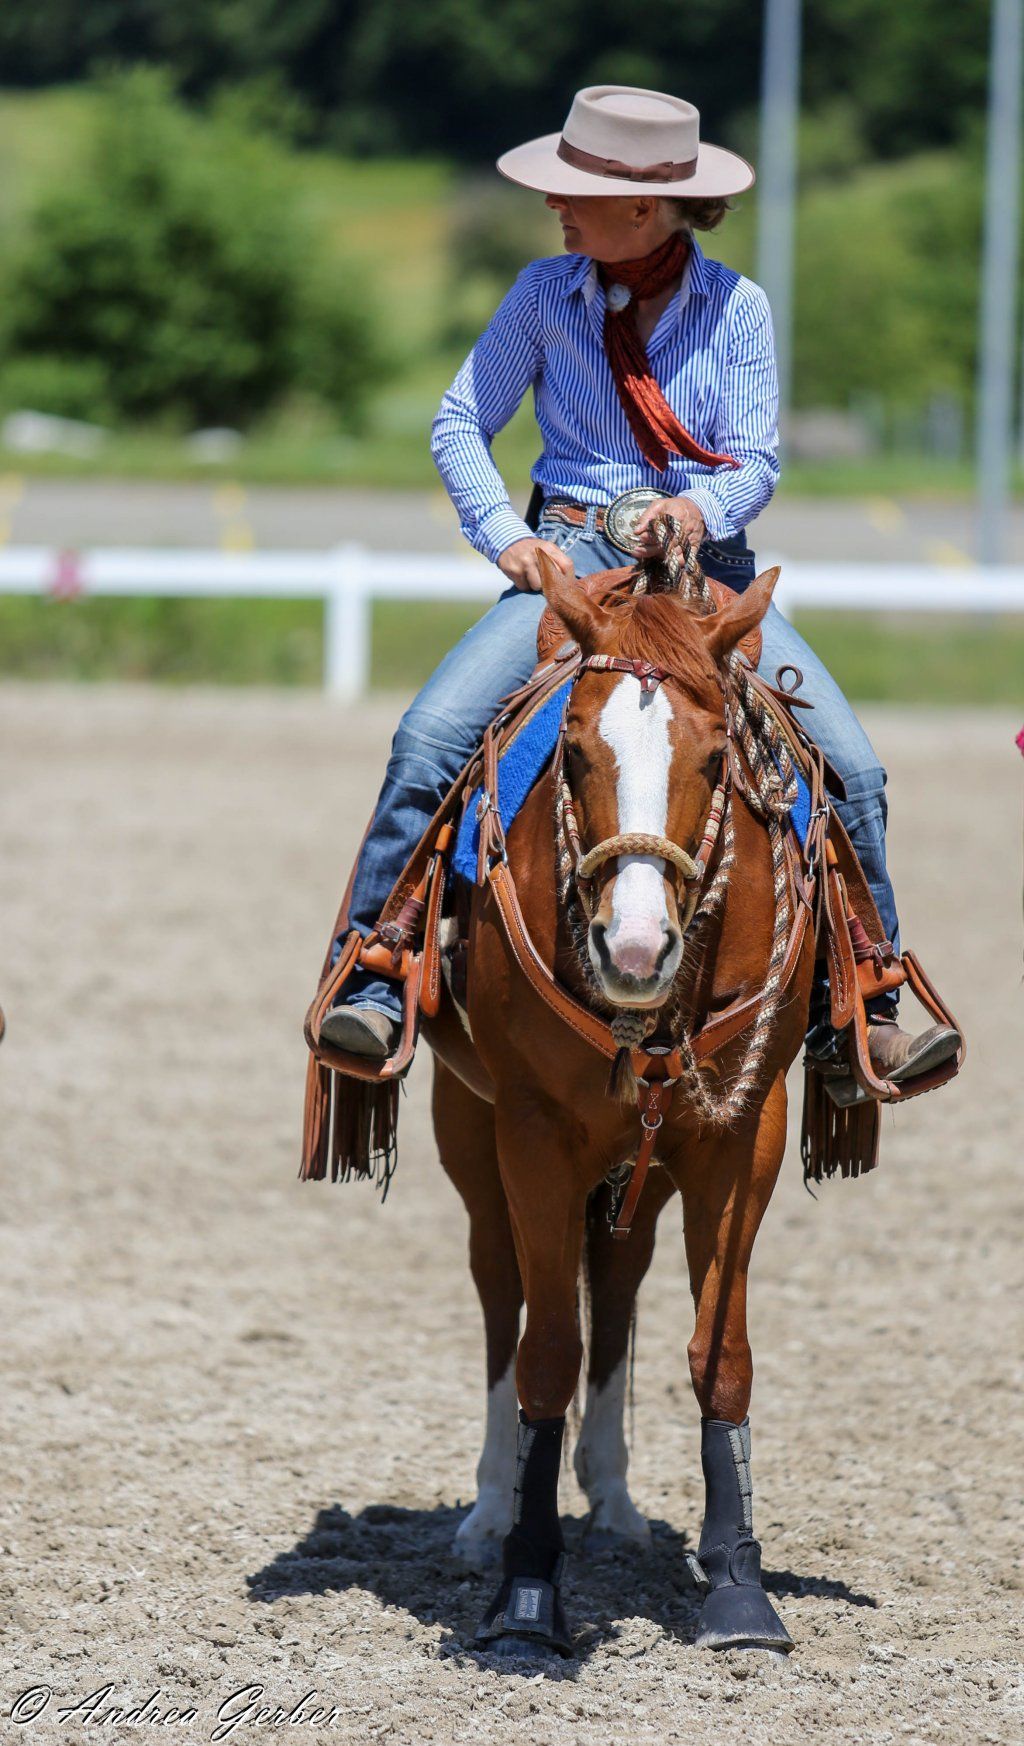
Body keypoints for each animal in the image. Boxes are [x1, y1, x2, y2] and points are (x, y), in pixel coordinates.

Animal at [420, 548, 816, 1656]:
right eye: (573, 752)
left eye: (717, 760)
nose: (633, 950)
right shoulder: (532, 1134)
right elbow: (546, 1351)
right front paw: (525, 1586)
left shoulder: (746, 1134)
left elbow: (718, 1355)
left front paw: (737, 1588)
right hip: (470, 1136)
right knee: (501, 1294)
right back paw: (488, 1510)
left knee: (622, 1283)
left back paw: (615, 1501)